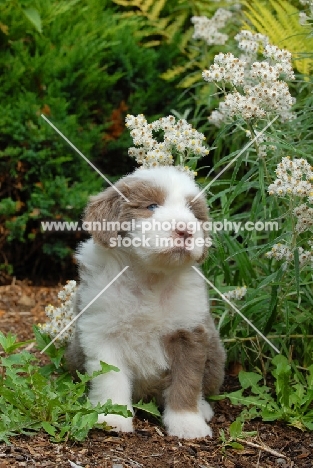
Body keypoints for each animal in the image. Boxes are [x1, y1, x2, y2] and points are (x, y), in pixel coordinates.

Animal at [67, 165, 225, 438]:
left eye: (193, 213)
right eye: (151, 206)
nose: (185, 230)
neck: (150, 277)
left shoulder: (189, 332)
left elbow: (187, 380)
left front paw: (187, 424)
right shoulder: (102, 332)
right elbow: (111, 378)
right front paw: (112, 417)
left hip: (215, 355)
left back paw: (203, 409)